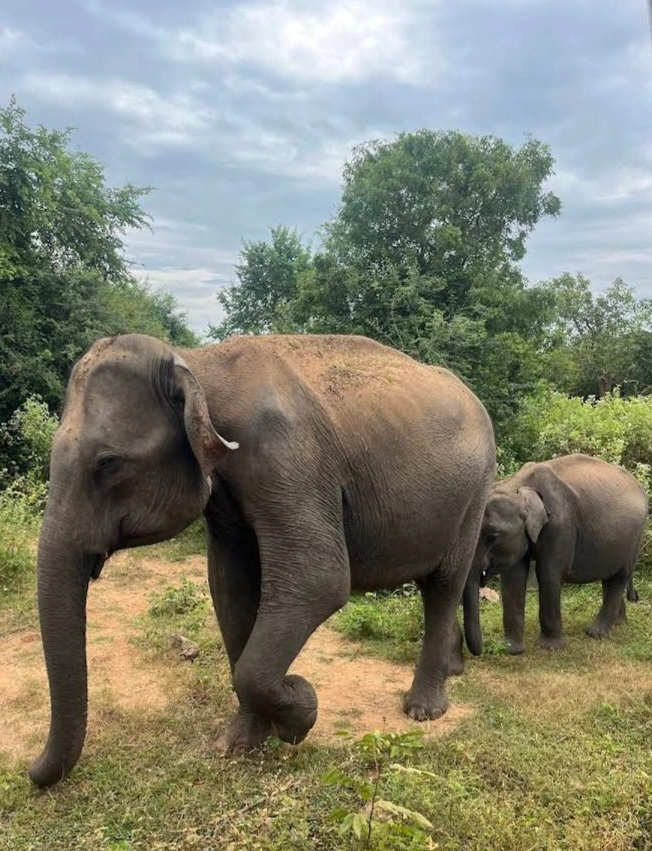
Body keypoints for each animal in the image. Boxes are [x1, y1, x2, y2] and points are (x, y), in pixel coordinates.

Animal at [28, 331, 496, 788]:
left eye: (108, 463)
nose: (30, 770)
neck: (198, 362)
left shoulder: (287, 458)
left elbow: (319, 580)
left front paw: (300, 713)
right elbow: (230, 588)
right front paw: (240, 744)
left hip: (476, 492)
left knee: (443, 586)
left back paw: (423, 711)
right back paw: (452, 672)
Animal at [462, 454, 648, 657]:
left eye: (493, 535)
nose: (484, 649)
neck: (518, 488)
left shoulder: (560, 526)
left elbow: (549, 575)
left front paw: (549, 648)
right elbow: (513, 578)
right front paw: (512, 650)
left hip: (635, 537)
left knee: (620, 576)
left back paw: (595, 633)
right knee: (610, 577)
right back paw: (618, 623)